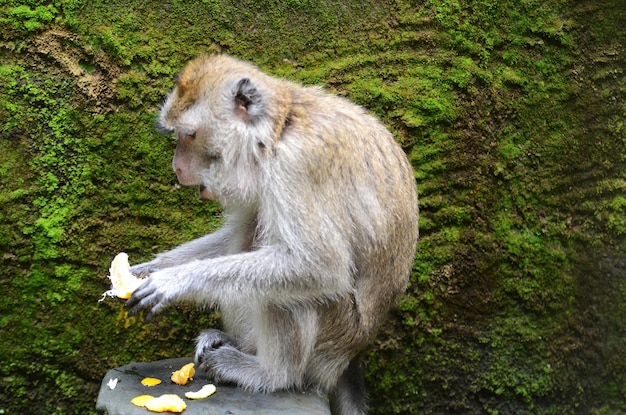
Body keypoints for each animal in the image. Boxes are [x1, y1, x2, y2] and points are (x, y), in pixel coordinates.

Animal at [125, 55, 420, 415]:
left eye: (190, 135)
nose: (176, 167)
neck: (276, 131)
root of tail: (353, 355)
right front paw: (146, 270)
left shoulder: (294, 168)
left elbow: (319, 266)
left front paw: (175, 281)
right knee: (251, 233)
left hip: (334, 336)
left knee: (291, 288)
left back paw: (271, 373)